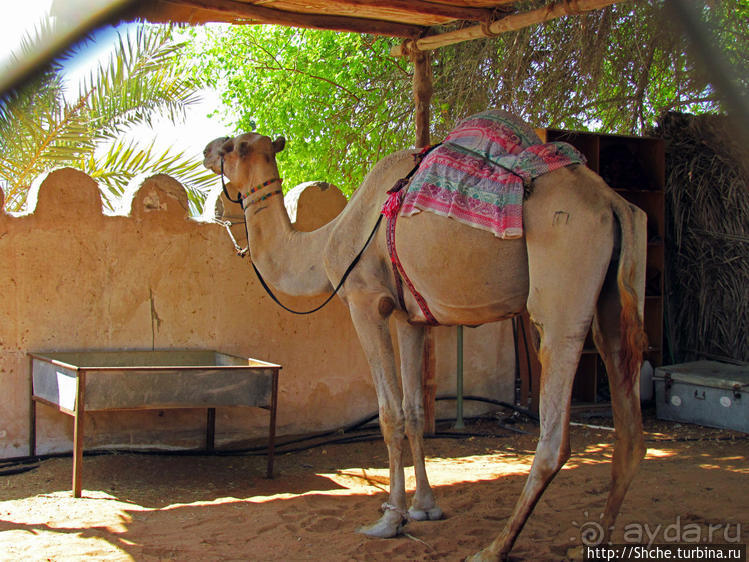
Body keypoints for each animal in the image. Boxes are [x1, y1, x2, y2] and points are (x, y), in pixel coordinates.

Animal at [203, 112, 648, 556]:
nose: (207, 149)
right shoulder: (409, 318)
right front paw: (425, 508)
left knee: (556, 435)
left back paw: (493, 548)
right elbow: (416, 410)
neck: (327, 241)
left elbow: (390, 413)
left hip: (563, 291)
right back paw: (592, 542)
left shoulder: (366, 302)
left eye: (231, 147)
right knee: (629, 427)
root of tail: (613, 203)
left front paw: (390, 518)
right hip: (614, 306)